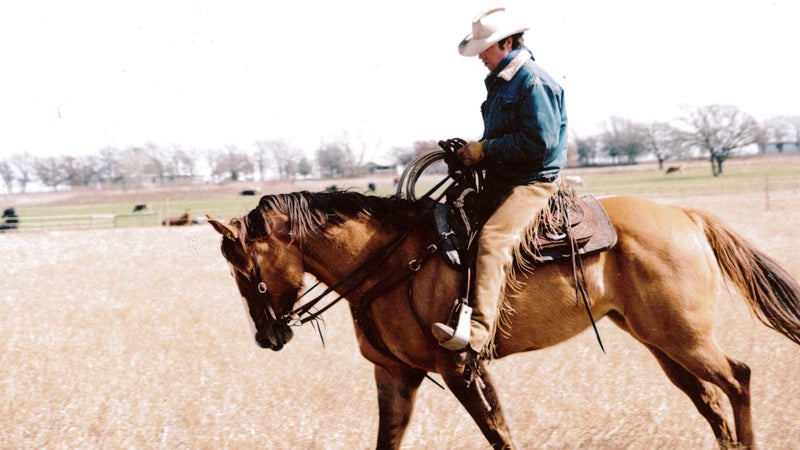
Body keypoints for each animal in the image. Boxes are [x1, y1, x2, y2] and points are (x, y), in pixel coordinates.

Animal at [208, 191, 800, 450]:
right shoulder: (394, 376)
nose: (267, 336)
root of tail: (686, 216)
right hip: (662, 343)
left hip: (686, 337)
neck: (393, 262)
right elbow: (388, 440)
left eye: (246, 271)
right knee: (710, 401)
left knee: (738, 378)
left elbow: (497, 432)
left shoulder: (460, 368)